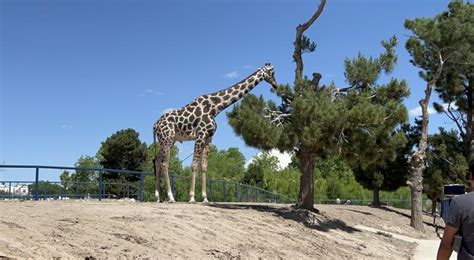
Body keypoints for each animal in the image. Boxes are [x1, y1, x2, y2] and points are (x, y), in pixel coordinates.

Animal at [152, 63, 278, 203]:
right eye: (272, 72)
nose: (276, 85)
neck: (216, 108)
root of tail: (155, 125)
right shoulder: (201, 135)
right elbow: (194, 164)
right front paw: (192, 197)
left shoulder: (209, 137)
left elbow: (204, 166)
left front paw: (205, 198)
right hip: (167, 139)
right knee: (164, 163)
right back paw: (171, 197)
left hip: (168, 140)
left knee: (157, 161)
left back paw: (157, 197)